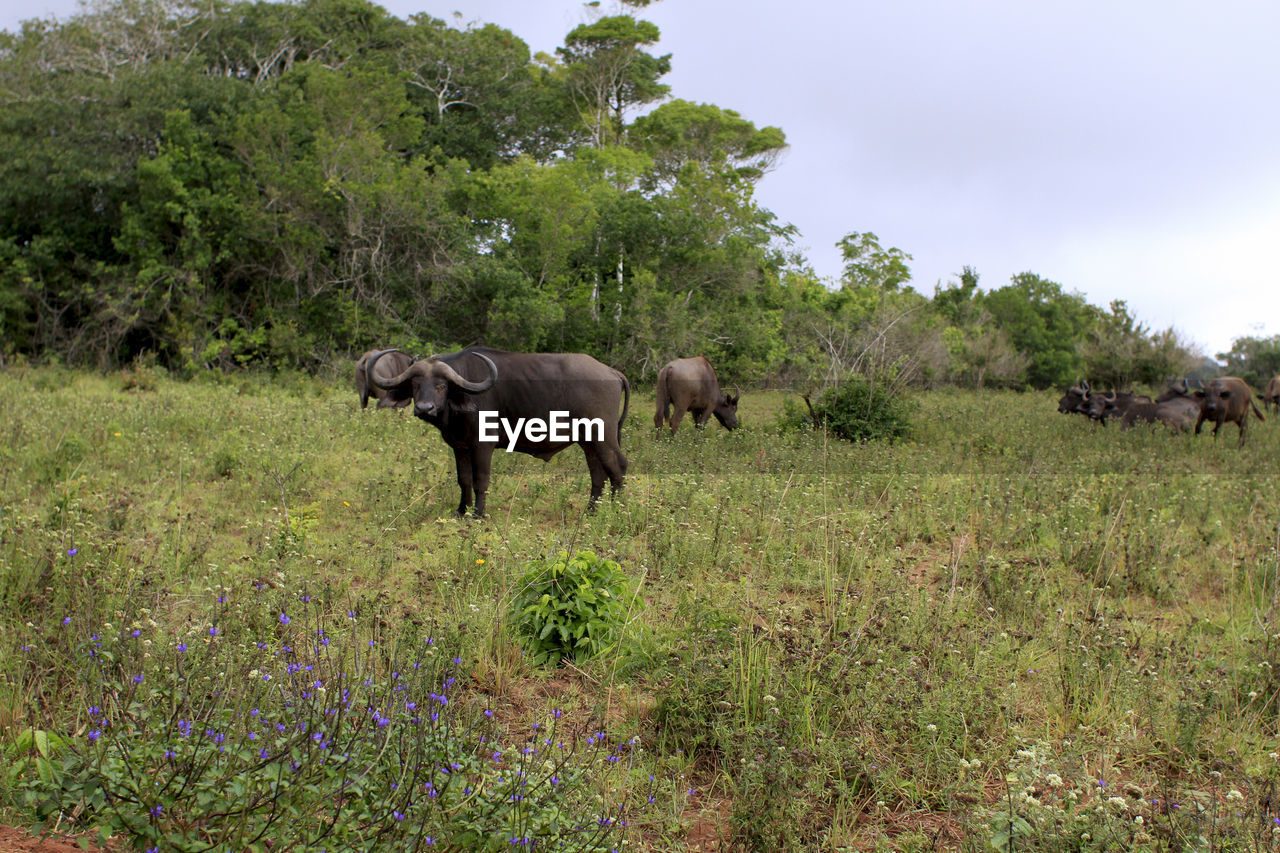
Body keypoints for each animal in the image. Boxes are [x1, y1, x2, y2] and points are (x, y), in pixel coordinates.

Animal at [366, 348, 629, 517]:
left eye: (441, 385)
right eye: (415, 385)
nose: (424, 408)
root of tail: (612, 372)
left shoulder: (482, 445)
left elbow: (481, 479)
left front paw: (478, 513)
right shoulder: (460, 447)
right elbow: (464, 479)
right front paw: (461, 510)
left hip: (603, 436)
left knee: (618, 467)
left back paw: (615, 510)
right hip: (588, 441)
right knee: (598, 473)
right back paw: (590, 511)